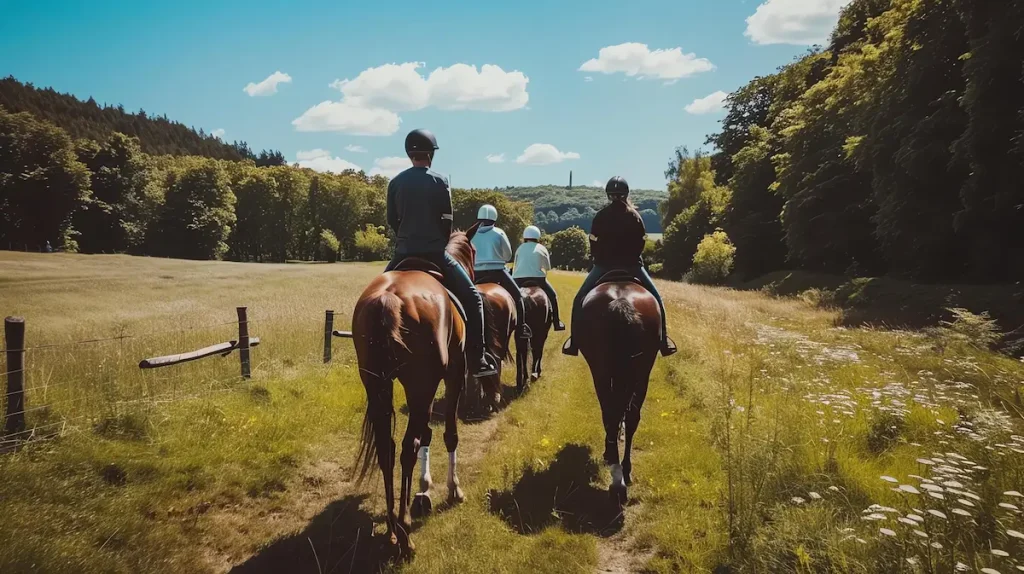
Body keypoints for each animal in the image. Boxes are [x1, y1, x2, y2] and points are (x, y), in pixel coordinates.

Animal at [352, 227, 479, 556]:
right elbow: (448, 433)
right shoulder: (453, 374)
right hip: (421, 383)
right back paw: (405, 531)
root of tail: (388, 299)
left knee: (387, 447)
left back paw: (392, 528)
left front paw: (424, 491)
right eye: (474, 251)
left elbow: (428, 434)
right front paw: (453, 489)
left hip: (378, 386)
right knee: (408, 446)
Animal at [581, 276, 659, 507]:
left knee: (611, 414)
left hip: (602, 371)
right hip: (641, 371)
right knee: (629, 416)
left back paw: (617, 477)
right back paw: (623, 473)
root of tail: (621, 301)